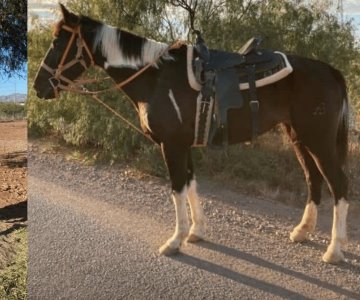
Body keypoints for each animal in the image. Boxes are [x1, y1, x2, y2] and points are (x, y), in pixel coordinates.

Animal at [33, 4, 348, 262]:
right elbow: (192, 185)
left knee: (338, 185)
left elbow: (177, 189)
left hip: (318, 140)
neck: (156, 78)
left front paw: (175, 241)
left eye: (58, 41)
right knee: (313, 179)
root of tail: (332, 72)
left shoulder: (171, 145)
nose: (38, 87)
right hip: (299, 137)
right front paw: (196, 231)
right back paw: (302, 231)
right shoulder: (185, 145)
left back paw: (334, 250)